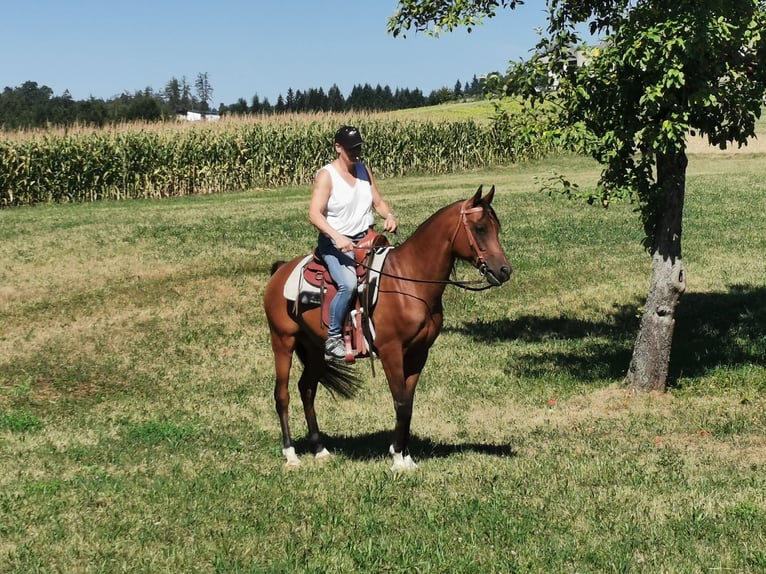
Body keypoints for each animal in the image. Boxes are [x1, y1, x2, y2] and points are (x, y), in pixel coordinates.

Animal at [260, 186, 512, 472]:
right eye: (480, 228)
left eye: (496, 227)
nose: (504, 270)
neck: (410, 282)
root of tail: (280, 270)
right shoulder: (391, 351)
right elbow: (400, 401)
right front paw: (398, 460)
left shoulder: (418, 353)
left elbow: (408, 402)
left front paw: (405, 455)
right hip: (283, 341)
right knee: (282, 394)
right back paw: (291, 455)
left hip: (314, 347)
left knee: (307, 389)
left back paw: (320, 449)